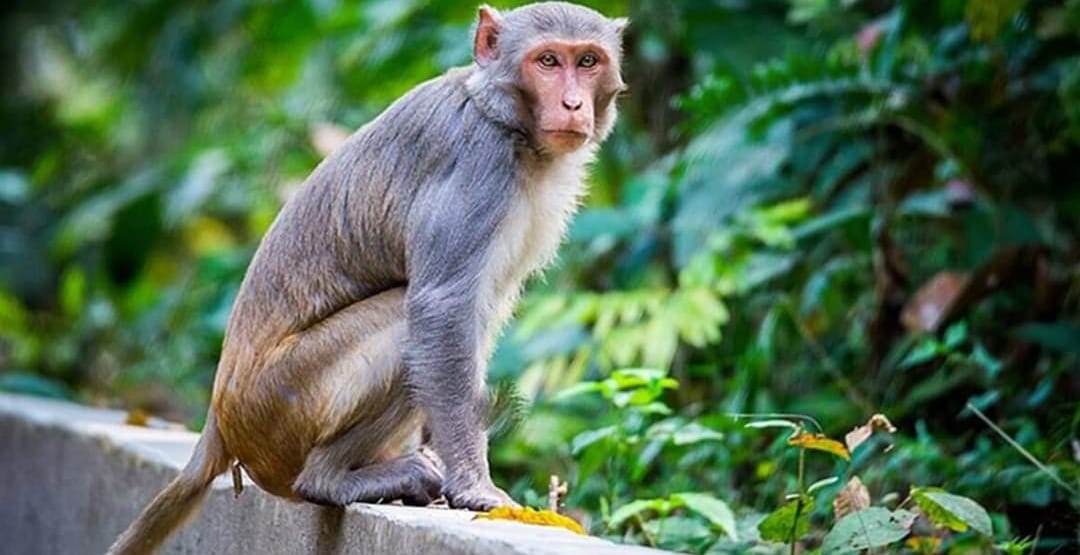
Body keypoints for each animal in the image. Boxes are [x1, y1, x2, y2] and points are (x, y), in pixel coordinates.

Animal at [107, 3, 626, 554]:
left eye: (587, 61)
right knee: (402, 319)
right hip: (284, 405)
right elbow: (442, 307)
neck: (505, 120)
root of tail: (219, 421)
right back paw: (331, 479)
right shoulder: (478, 166)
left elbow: (479, 313)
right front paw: (474, 485)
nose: (572, 103)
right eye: (548, 61)